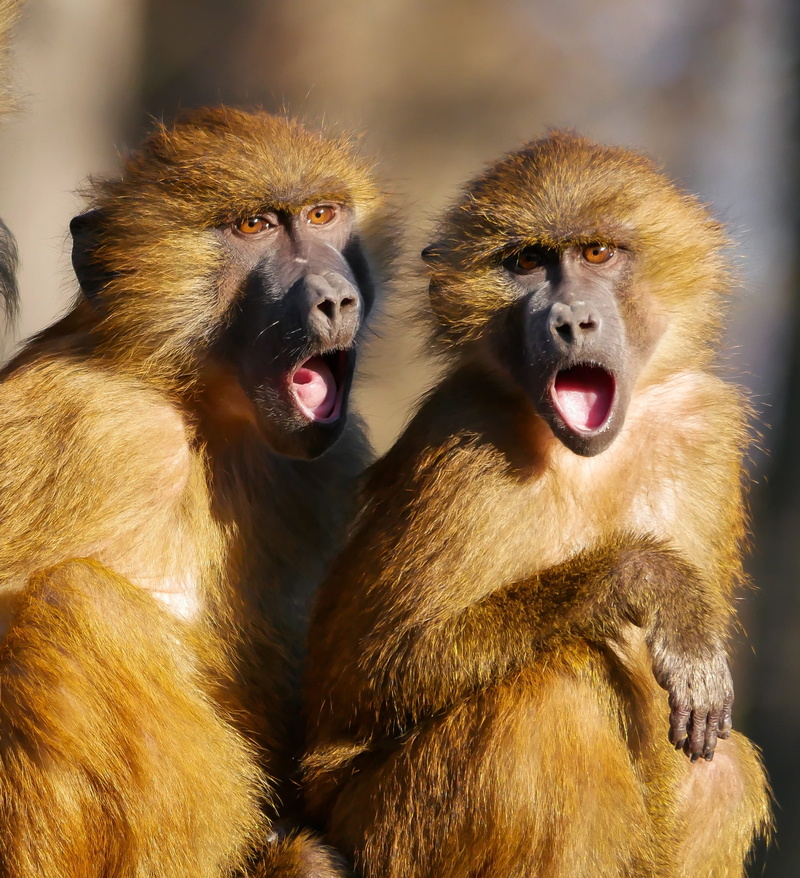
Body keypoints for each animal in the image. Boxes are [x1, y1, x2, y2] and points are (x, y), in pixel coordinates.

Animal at [0, 107, 394, 877]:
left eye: (322, 215)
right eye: (253, 226)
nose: (337, 298)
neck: (197, 409)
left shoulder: (326, 462)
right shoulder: (91, 421)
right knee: (74, 604)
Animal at [303, 132, 771, 877]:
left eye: (598, 253)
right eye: (526, 262)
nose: (571, 321)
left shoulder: (703, 429)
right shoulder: (464, 442)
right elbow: (374, 669)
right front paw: (652, 582)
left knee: (719, 771)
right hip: (387, 827)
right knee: (552, 696)